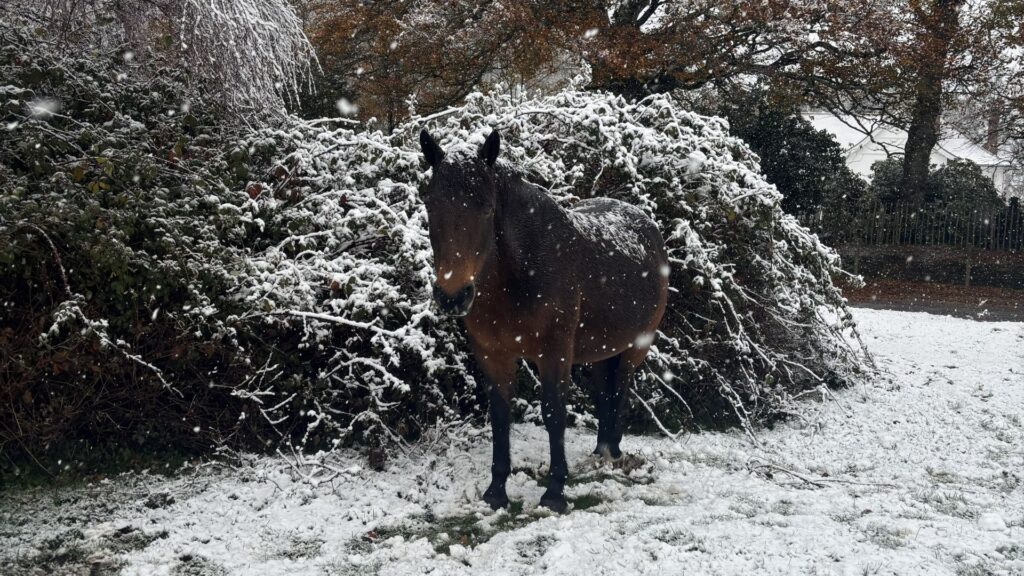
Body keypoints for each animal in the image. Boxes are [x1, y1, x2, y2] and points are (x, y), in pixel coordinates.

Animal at [418, 128, 669, 513]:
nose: (453, 295)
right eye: (431, 204)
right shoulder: (493, 355)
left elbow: (553, 413)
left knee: (621, 389)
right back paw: (599, 453)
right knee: (604, 391)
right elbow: (500, 416)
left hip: (635, 346)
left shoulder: (554, 352)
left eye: (486, 208)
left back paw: (613, 454)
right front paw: (496, 492)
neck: (519, 274)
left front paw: (554, 492)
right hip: (601, 349)